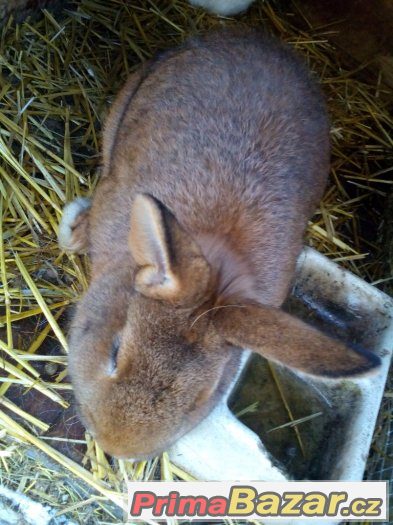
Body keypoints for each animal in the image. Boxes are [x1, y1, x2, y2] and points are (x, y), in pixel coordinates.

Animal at [59, 27, 380, 458]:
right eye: (114, 351)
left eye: (200, 398)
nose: (117, 446)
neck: (218, 265)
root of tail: (256, 41)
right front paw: (74, 229)